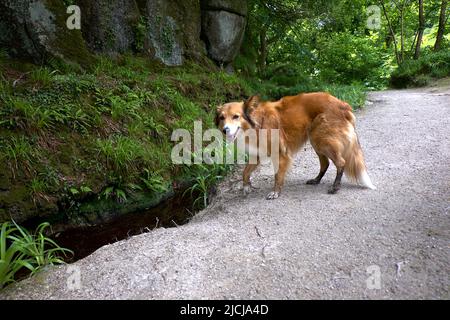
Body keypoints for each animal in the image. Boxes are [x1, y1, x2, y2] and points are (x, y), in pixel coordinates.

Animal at [215, 91, 376, 199]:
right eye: (222, 117)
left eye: (236, 116)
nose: (225, 130)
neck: (258, 123)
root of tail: (342, 104)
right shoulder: (257, 154)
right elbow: (245, 172)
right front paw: (246, 187)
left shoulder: (281, 154)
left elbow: (277, 175)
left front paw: (276, 192)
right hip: (316, 141)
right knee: (325, 164)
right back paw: (316, 180)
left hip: (321, 140)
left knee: (341, 162)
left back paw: (335, 187)